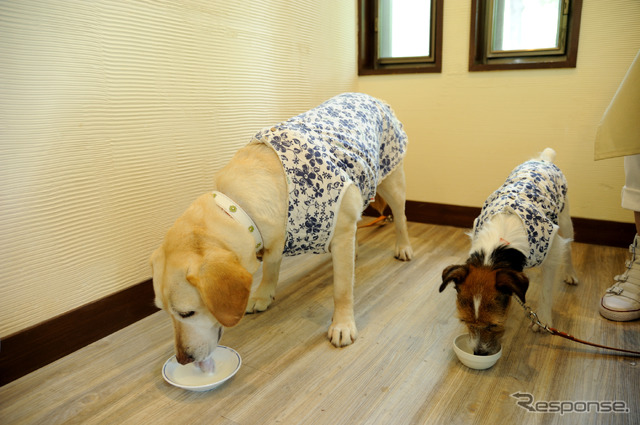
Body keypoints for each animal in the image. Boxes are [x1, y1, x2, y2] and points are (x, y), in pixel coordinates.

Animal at [150, 93, 412, 372]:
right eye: (164, 311)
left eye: (186, 313)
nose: (182, 359)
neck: (238, 206)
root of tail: (366, 95)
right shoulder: (272, 237)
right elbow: (271, 266)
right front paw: (263, 294)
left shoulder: (338, 233)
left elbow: (342, 290)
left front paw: (342, 324)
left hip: (391, 181)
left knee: (401, 216)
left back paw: (403, 247)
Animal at [440, 149, 580, 354]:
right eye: (465, 321)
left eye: (493, 325)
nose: (479, 352)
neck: (498, 247)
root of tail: (544, 159)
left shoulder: (551, 254)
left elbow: (546, 290)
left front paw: (544, 320)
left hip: (564, 217)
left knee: (569, 247)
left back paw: (570, 274)